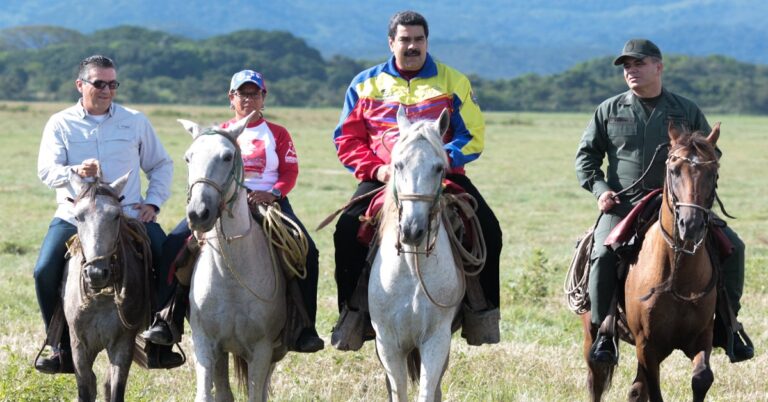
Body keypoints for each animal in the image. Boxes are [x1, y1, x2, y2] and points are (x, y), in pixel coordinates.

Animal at [63, 171, 152, 401]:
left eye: (116, 216)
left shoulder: (122, 344)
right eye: (78, 217)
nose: (96, 273)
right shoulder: (78, 346)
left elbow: (115, 389)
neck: (100, 296)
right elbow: (85, 390)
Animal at [178, 112, 287, 402]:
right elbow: (207, 394)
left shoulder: (262, 350)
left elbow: (256, 395)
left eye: (227, 156)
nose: (198, 213)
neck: (230, 277)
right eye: (188, 157)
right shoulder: (205, 344)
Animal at [368, 107, 463, 402]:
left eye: (439, 167)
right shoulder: (388, 343)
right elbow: (398, 391)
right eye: (398, 165)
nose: (412, 229)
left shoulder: (436, 340)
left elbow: (427, 391)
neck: (412, 265)